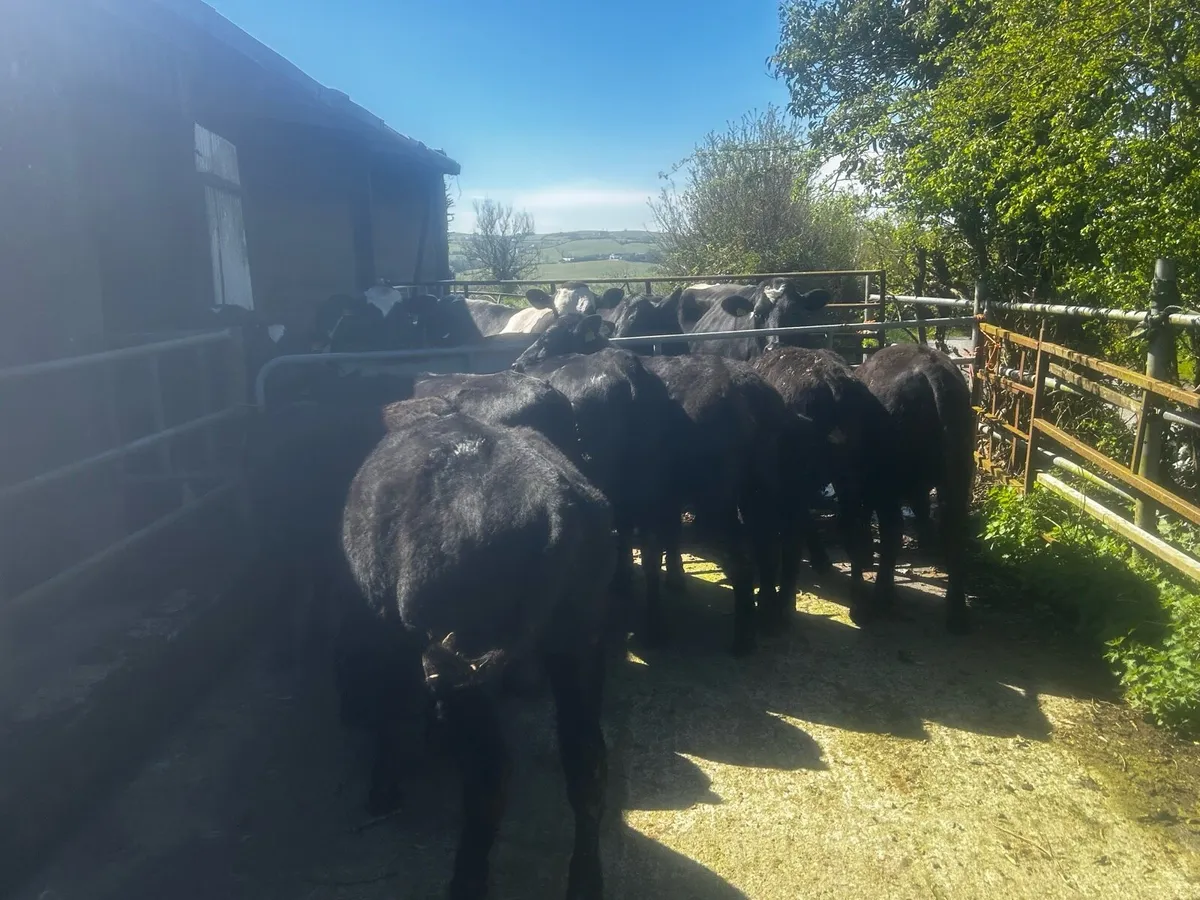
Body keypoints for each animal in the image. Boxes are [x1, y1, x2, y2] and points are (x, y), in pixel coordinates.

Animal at [342, 396, 615, 899]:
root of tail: (557, 502)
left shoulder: (382, 633)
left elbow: (388, 710)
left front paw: (383, 789)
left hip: (468, 656)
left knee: (491, 774)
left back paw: (466, 879)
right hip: (579, 640)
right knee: (587, 762)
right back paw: (586, 880)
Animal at [856, 343, 975, 633]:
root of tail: (931, 370)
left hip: (887, 481)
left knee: (893, 529)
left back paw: (882, 596)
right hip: (960, 469)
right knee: (953, 529)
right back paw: (957, 614)